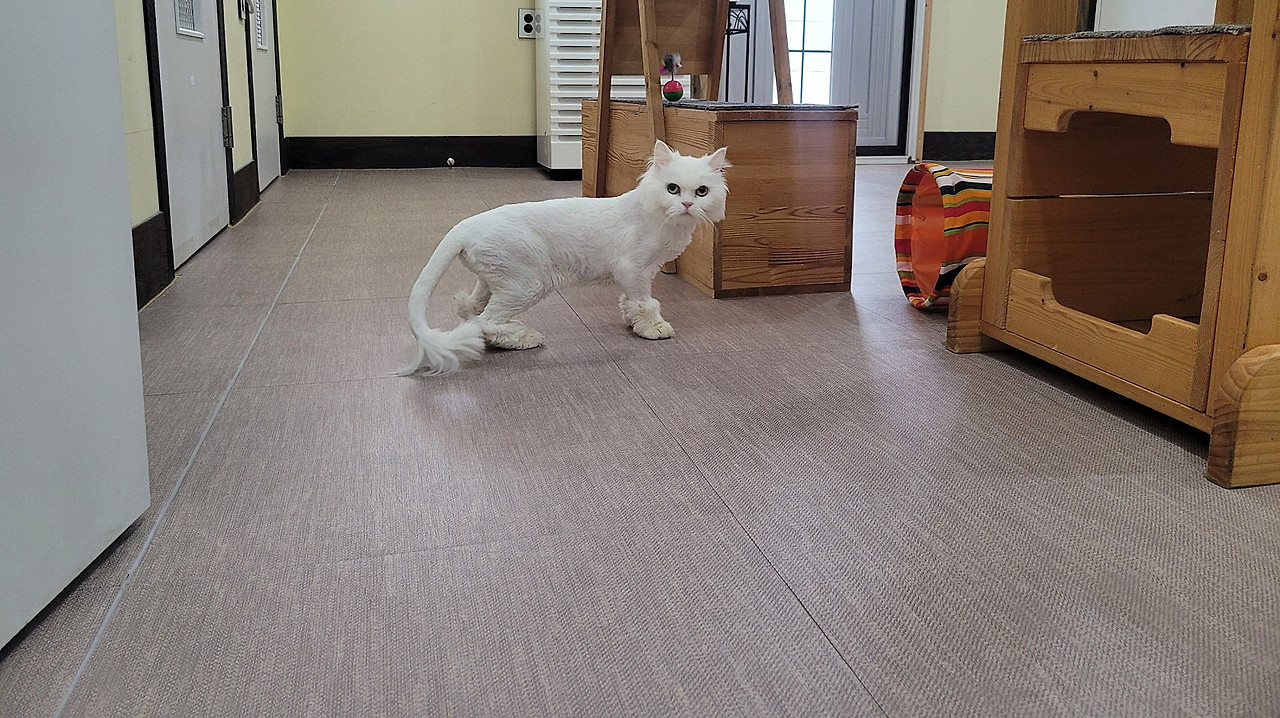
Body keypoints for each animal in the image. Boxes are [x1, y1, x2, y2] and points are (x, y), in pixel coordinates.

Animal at [395, 140, 730, 376]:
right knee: (487, 321)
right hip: (527, 284)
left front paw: (631, 320)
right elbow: (644, 302)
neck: (660, 218)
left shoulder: (645, 272)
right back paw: (525, 337)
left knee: (470, 308)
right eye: (672, 188)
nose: (687, 204)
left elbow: (630, 301)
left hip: (498, 280)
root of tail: (466, 225)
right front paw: (652, 328)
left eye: (702, 192)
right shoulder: (632, 269)